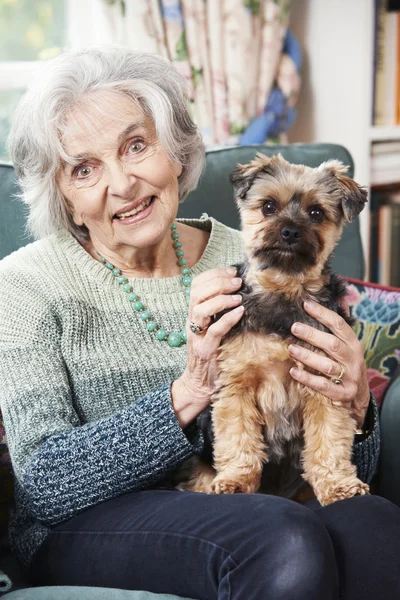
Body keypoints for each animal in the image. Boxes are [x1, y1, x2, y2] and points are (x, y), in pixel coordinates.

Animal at [181, 152, 368, 504]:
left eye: (316, 212)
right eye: (268, 206)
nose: (290, 231)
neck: (283, 289)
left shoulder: (325, 385)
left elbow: (330, 441)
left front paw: (338, 484)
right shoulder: (236, 384)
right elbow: (237, 436)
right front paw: (236, 480)